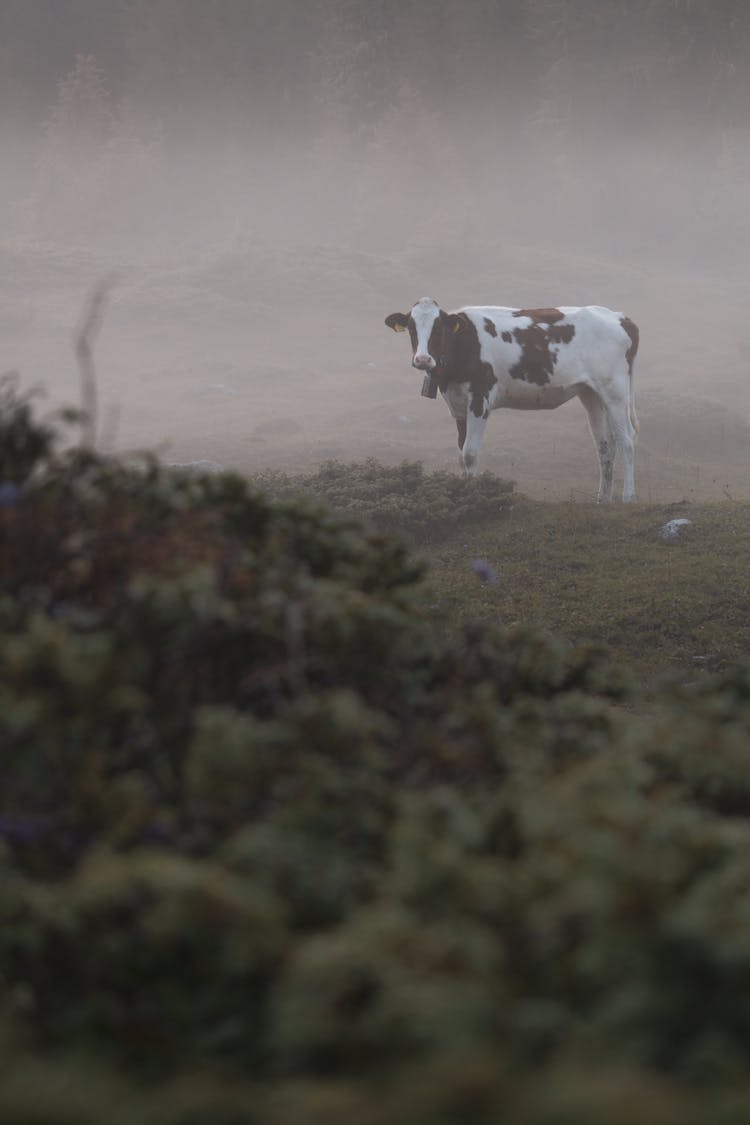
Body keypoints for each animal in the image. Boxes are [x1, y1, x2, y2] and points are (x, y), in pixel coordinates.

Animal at [386, 299, 638, 501]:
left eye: (438, 327)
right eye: (411, 327)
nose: (423, 359)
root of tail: (619, 317)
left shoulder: (480, 400)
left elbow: (470, 453)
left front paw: (472, 495)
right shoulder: (458, 406)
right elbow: (460, 454)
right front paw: (463, 492)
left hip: (615, 391)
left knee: (626, 442)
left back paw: (627, 498)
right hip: (592, 393)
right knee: (605, 446)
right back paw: (603, 500)